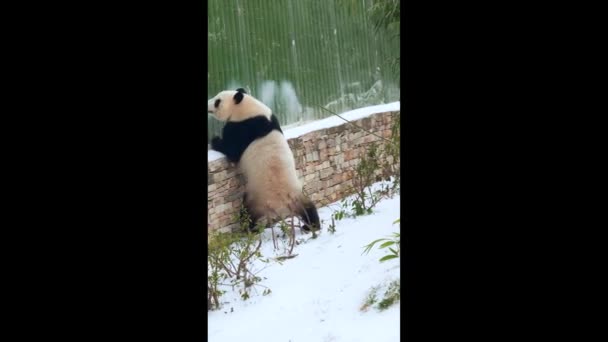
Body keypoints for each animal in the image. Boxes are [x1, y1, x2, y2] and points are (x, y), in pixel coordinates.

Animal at [209, 87, 320, 232]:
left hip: (258, 198)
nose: (208, 104)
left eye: (217, 101)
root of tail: (283, 208)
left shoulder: (244, 127)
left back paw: (249, 229)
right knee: (309, 208)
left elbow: (232, 150)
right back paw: (311, 226)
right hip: (297, 195)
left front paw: (215, 140)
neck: (247, 107)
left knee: (248, 214)